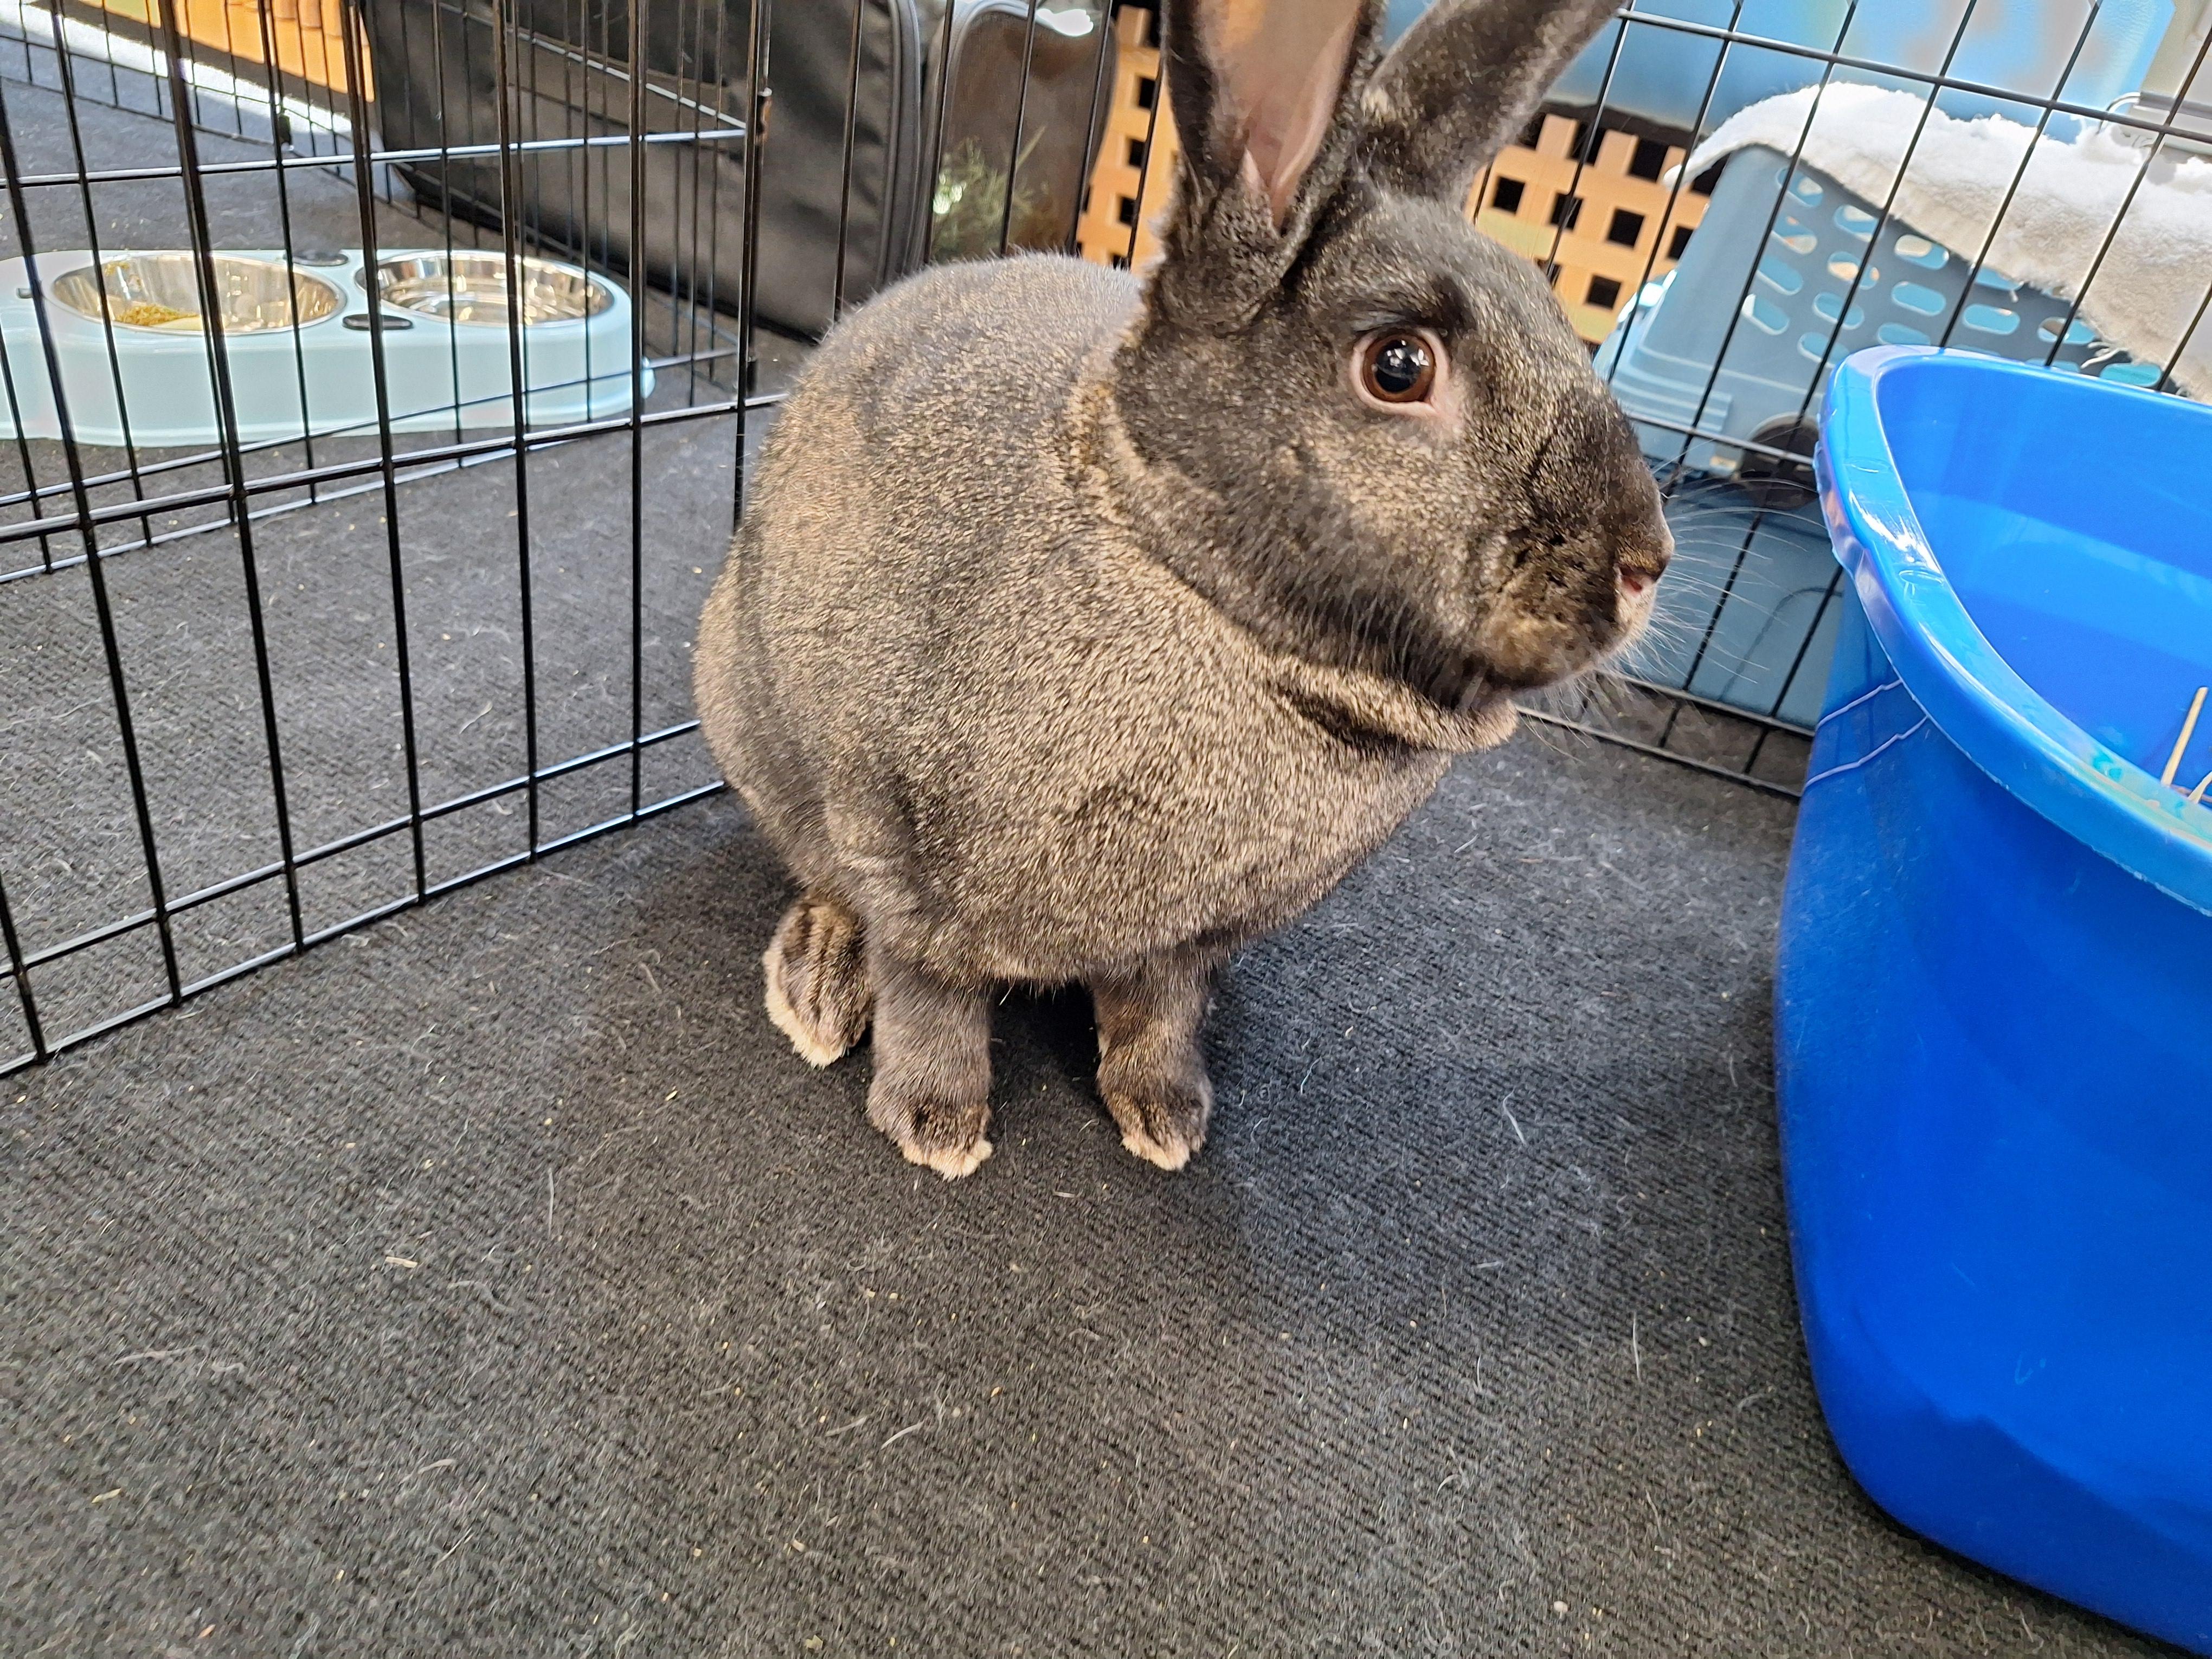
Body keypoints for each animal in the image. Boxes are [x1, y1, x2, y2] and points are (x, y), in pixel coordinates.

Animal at [694, 0, 1672, 1179]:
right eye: (1399, 366)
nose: (1645, 564)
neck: (1210, 597)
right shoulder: (904, 856)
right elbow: (932, 999)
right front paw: (939, 1128)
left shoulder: (1182, 947)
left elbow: (1155, 1012)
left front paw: (1166, 1119)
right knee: (825, 882)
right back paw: (820, 985)